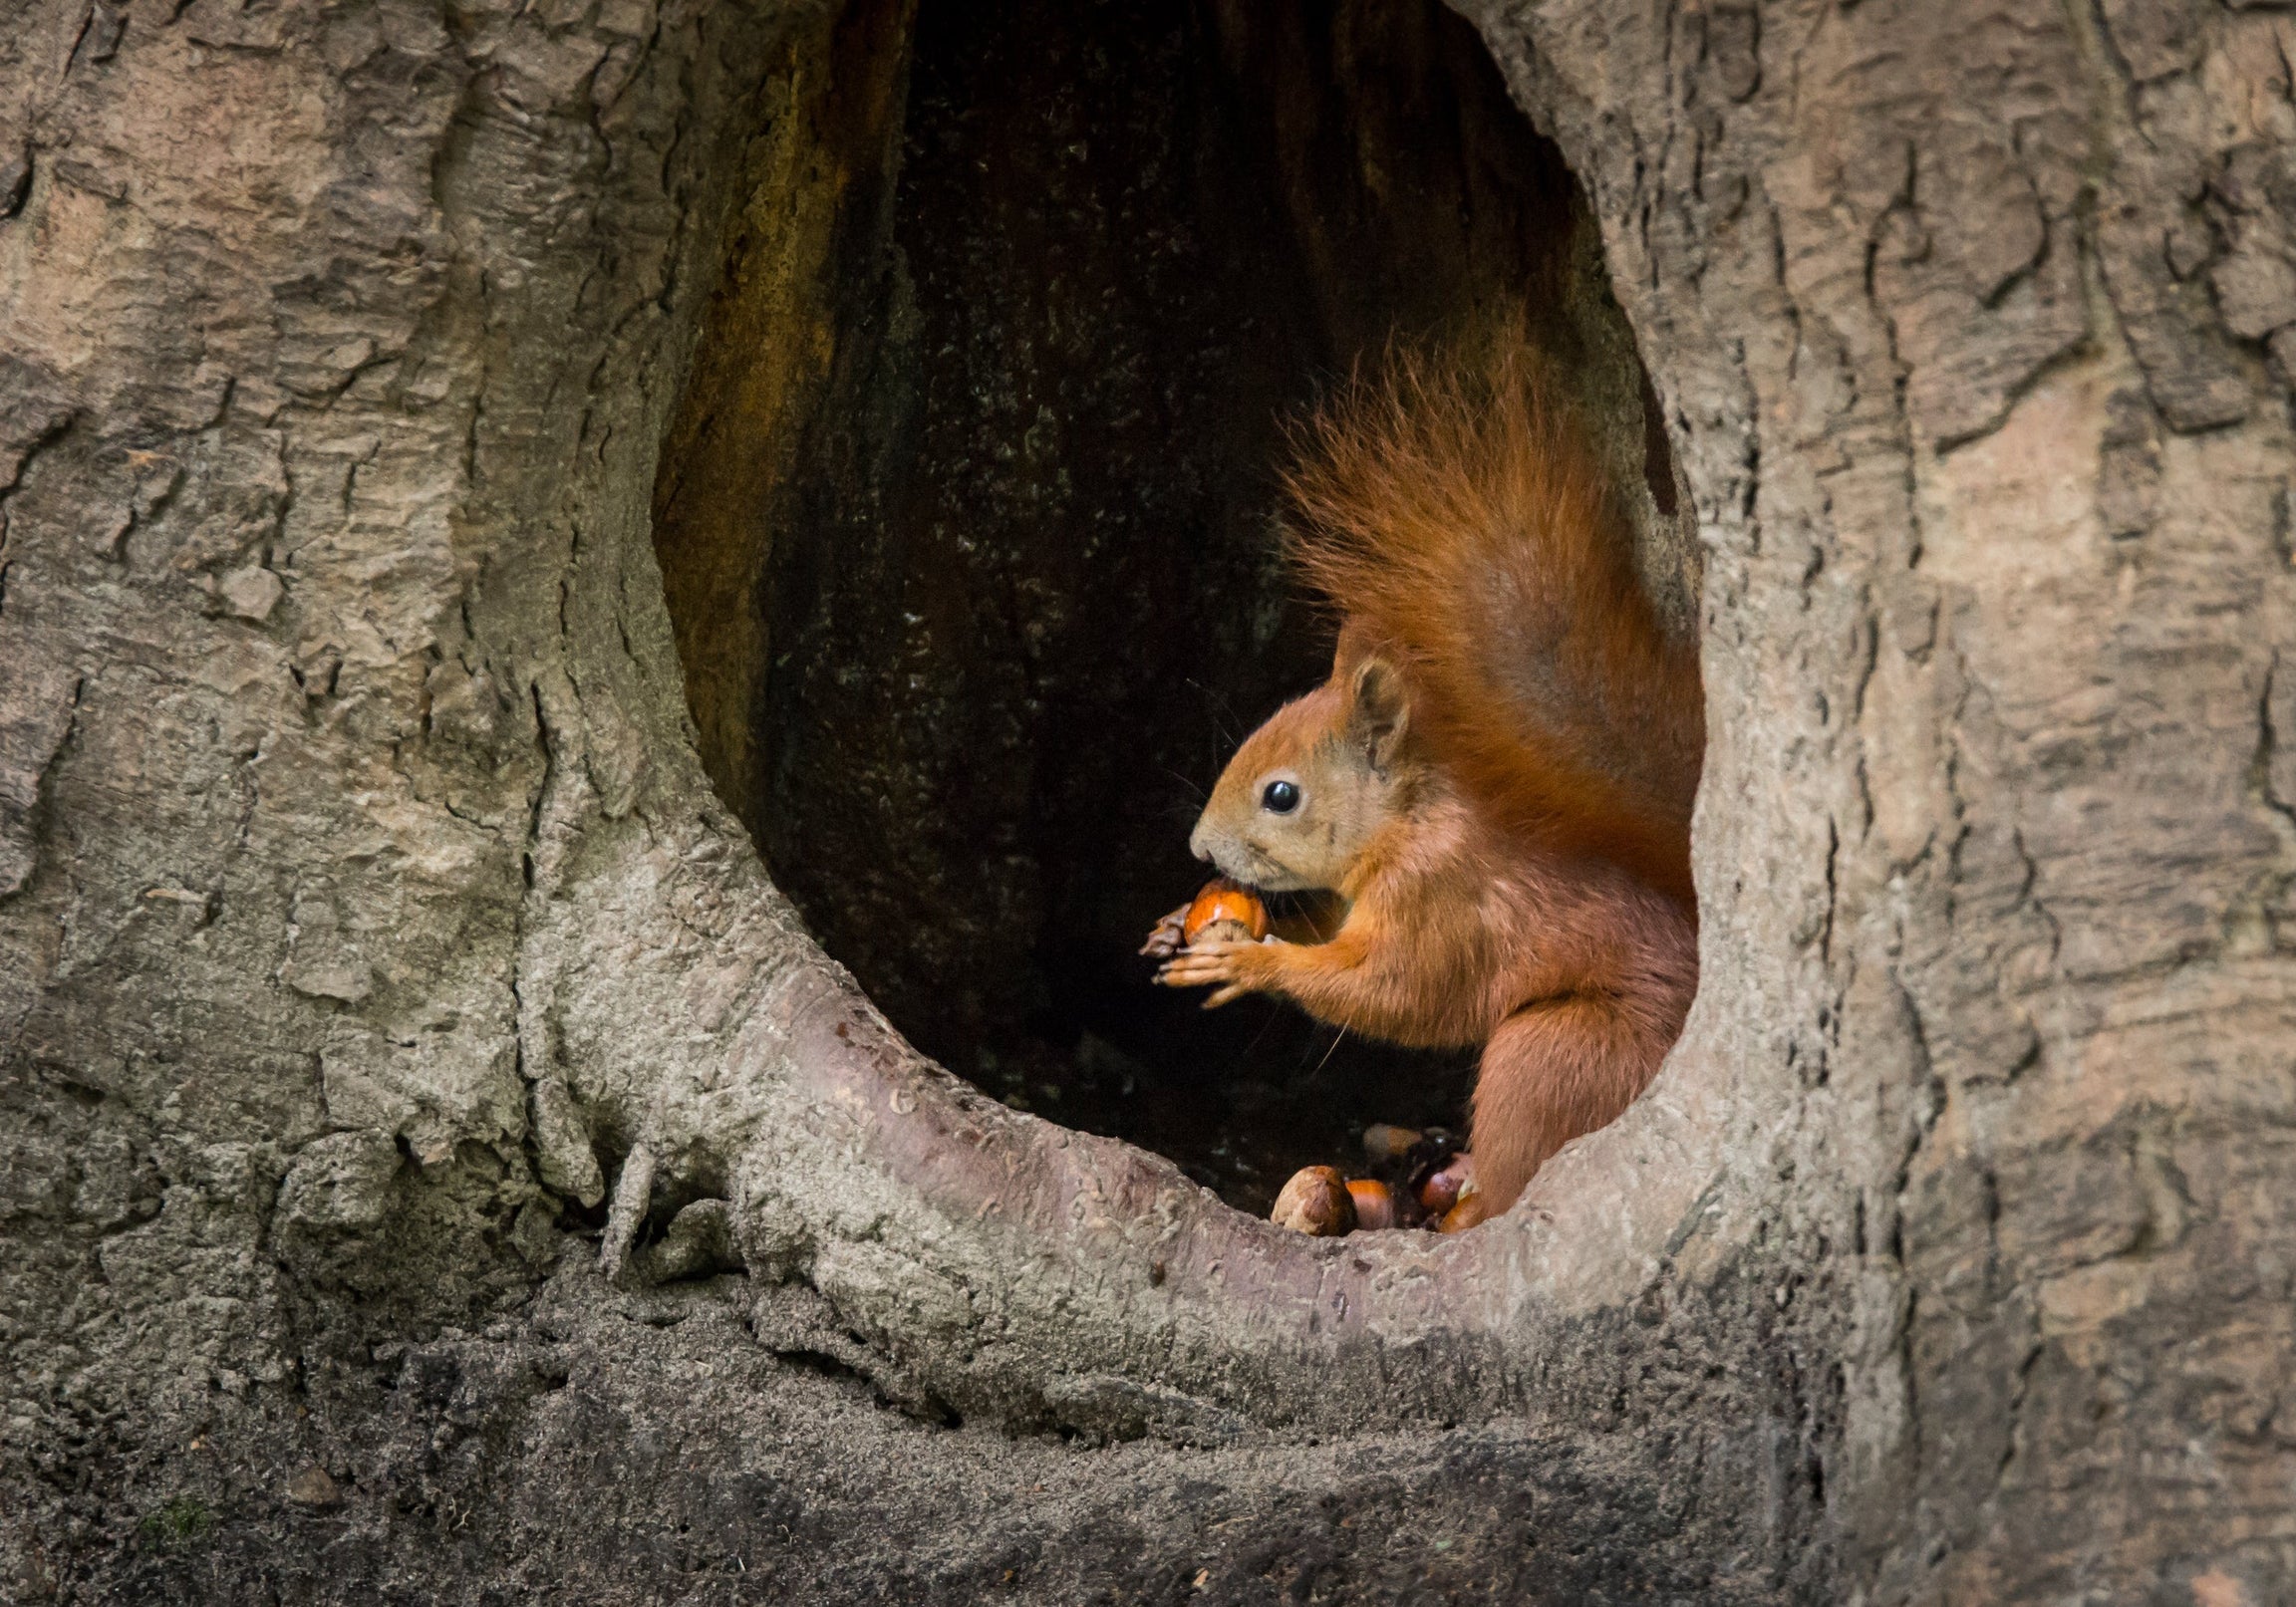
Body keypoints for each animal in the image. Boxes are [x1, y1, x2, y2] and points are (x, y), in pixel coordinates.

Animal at [1149, 327, 1703, 1227]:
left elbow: (1391, 992)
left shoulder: (1442, 897)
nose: (1199, 850)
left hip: (1553, 1054)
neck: (1406, 821)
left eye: (1281, 794)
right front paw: (1174, 924)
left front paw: (1248, 965)